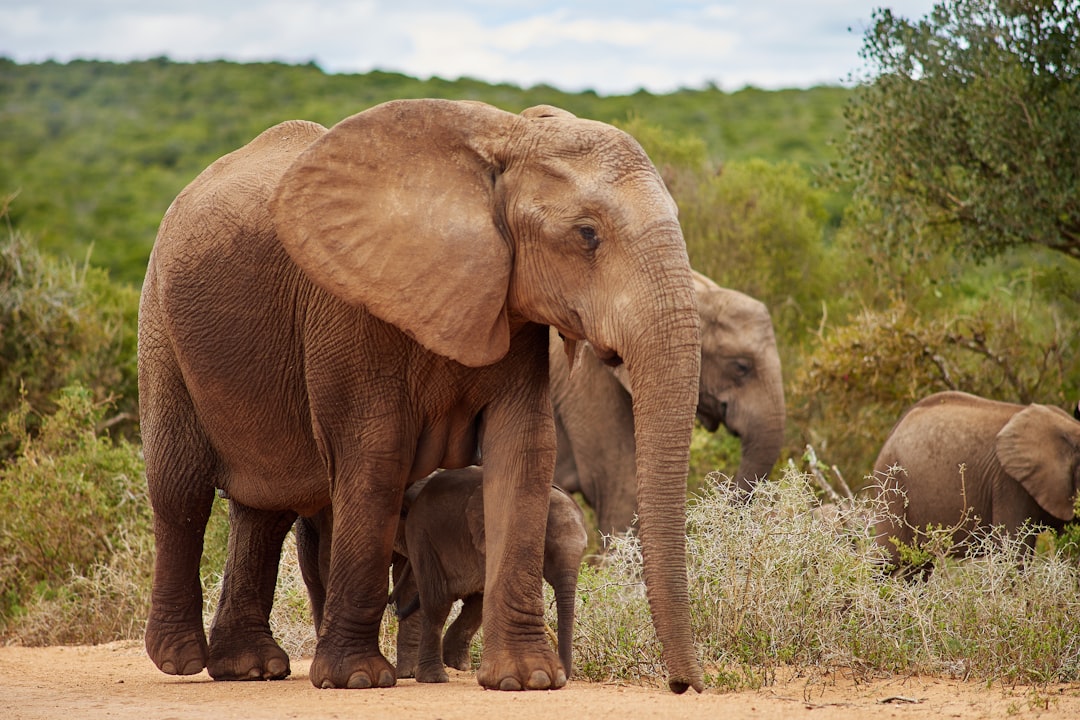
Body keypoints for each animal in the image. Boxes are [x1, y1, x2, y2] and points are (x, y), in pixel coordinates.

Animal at [393, 464, 587, 686]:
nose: (565, 673)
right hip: (422, 537)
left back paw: (457, 664)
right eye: (546, 552)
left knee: (474, 599)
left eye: (584, 549)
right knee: (437, 602)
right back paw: (435, 678)